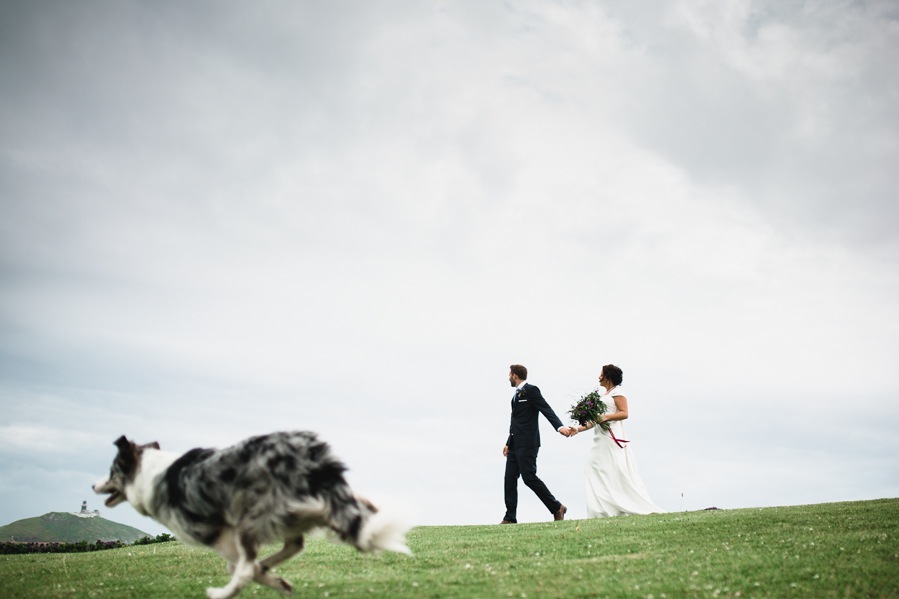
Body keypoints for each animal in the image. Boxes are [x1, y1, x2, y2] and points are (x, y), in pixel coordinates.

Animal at [93, 431, 411, 599]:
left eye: (111, 471)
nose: (93, 485)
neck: (151, 473)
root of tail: (309, 456)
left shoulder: (215, 532)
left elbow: (240, 567)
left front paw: (264, 578)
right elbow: (247, 565)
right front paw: (275, 578)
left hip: (250, 516)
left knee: (262, 559)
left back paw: (221, 592)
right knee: (301, 541)